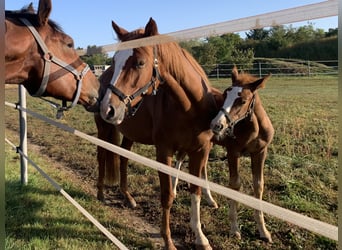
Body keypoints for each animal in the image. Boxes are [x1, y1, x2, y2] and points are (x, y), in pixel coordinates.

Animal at [98, 18, 222, 250]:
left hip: (129, 134)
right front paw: (168, 240)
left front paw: (200, 237)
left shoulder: (199, 151)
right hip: (103, 130)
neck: (189, 107)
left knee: (123, 159)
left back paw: (128, 197)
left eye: (140, 63)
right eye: (115, 60)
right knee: (101, 157)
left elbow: (196, 191)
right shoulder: (164, 152)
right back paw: (100, 193)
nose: (107, 108)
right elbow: (167, 195)